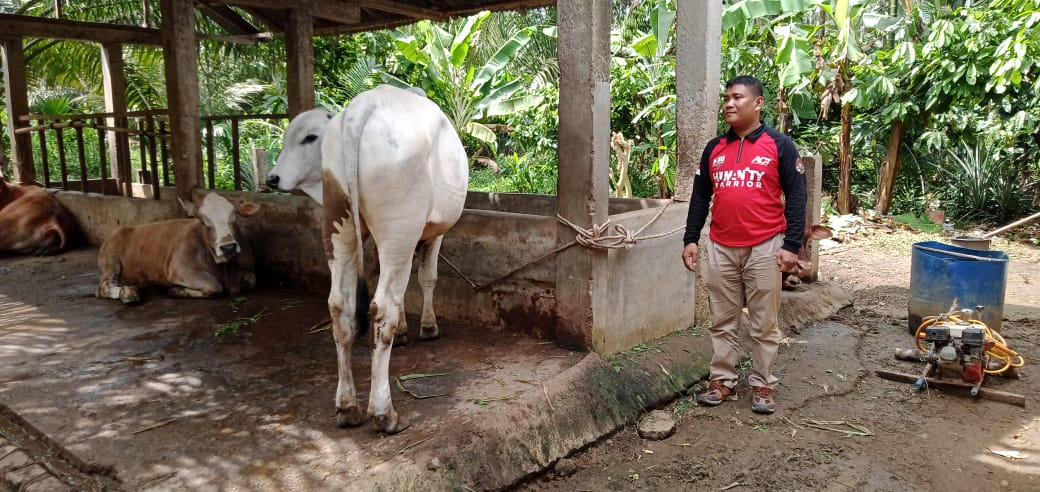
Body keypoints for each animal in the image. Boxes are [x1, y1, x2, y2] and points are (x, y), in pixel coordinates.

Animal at [96, 190, 260, 303]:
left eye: (234, 218)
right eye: (203, 222)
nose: (228, 247)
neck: (225, 270)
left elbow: (251, 280)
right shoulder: (180, 270)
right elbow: (214, 285)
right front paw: (176, 291)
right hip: (110, 261)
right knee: (103, 287)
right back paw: (127, 293)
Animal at [268, 84, 467, 432]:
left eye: (309, 137)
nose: (273, 178)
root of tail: (361, 108)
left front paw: (404, 331)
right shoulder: (432, 233)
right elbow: (426, 278)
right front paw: (428, 327)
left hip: (339, 224)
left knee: (339, 306)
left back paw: (348, 406)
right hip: (399, 228)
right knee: (382, 306)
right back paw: (383, 412)